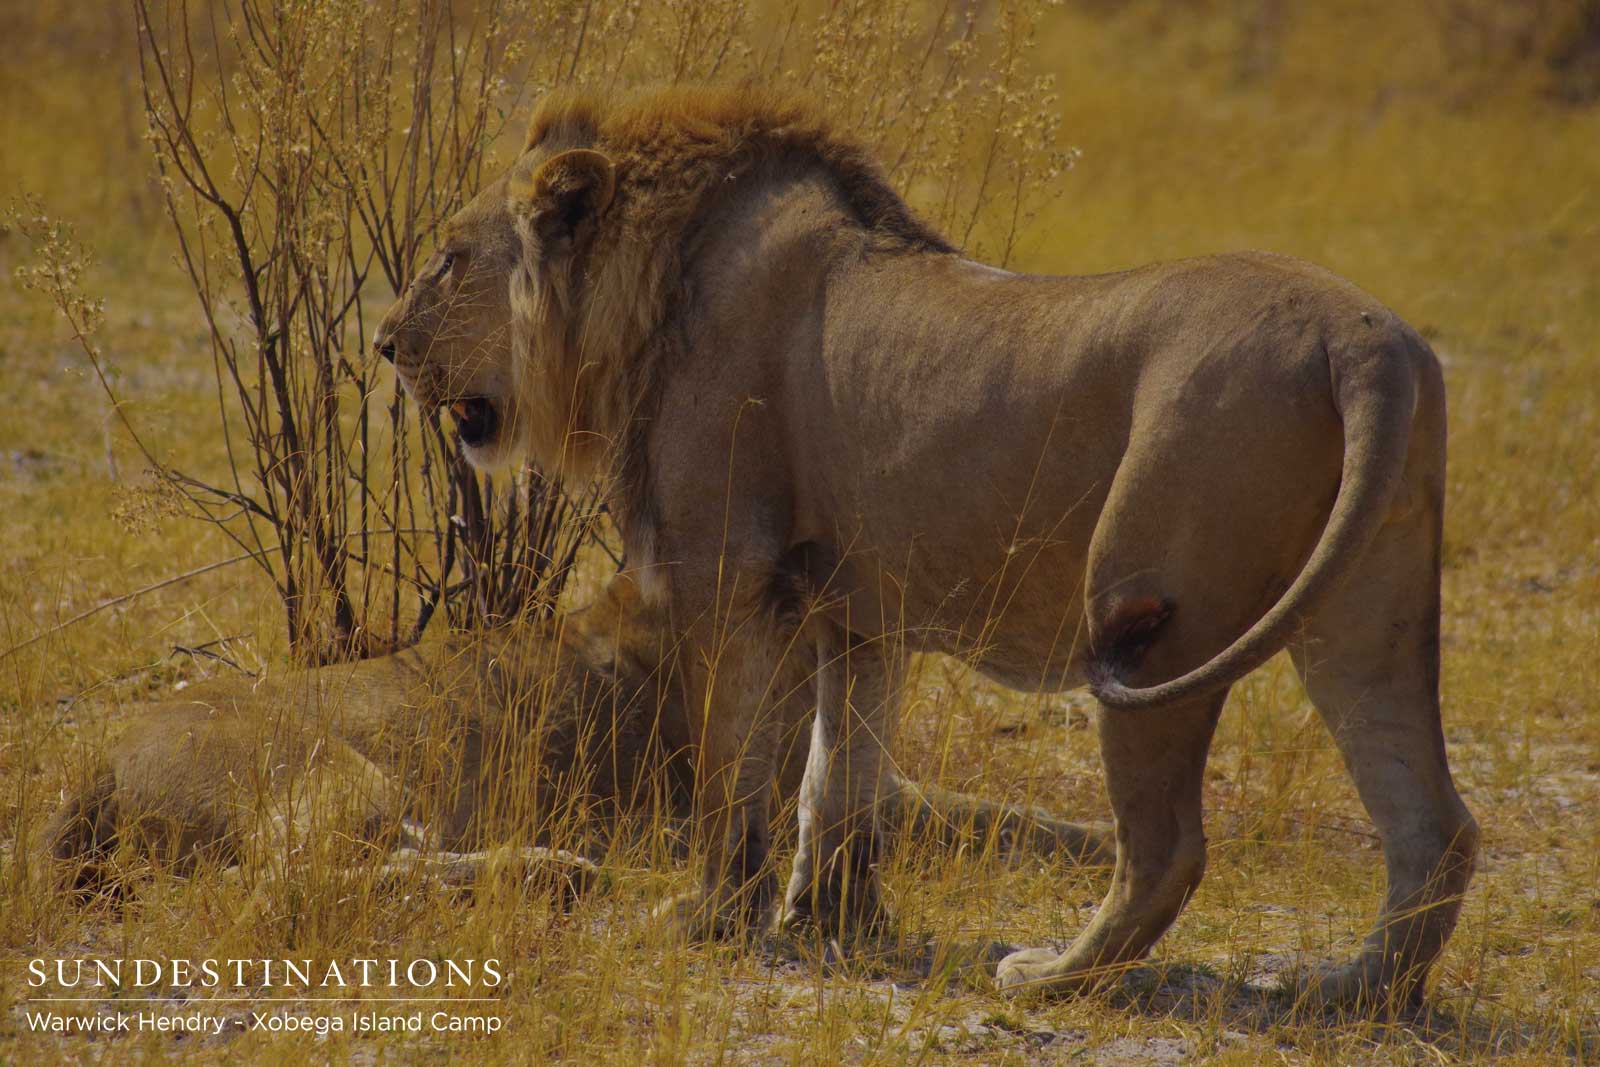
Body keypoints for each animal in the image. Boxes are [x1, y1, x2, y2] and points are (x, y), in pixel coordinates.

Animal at [50, 579, 1100, 895]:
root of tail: (92, 758)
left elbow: (1009, 811)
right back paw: (568, 868)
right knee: (279, 877)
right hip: (333, 770)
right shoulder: (749, 794)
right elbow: (982, 813)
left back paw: (556, 866)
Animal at [371, 85, 1472, 1011]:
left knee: (1168, 846)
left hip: (1149, 616)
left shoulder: (724, 576)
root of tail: (1362, 339)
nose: (383, 342)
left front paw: (702, 917)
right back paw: (1351, 991)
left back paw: (1048, 976)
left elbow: (735, 773)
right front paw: (833, 921)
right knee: (1434, 825)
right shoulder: (854, 611)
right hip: (1366, 611)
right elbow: (835, 784)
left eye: (449, 258)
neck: (641, 294)